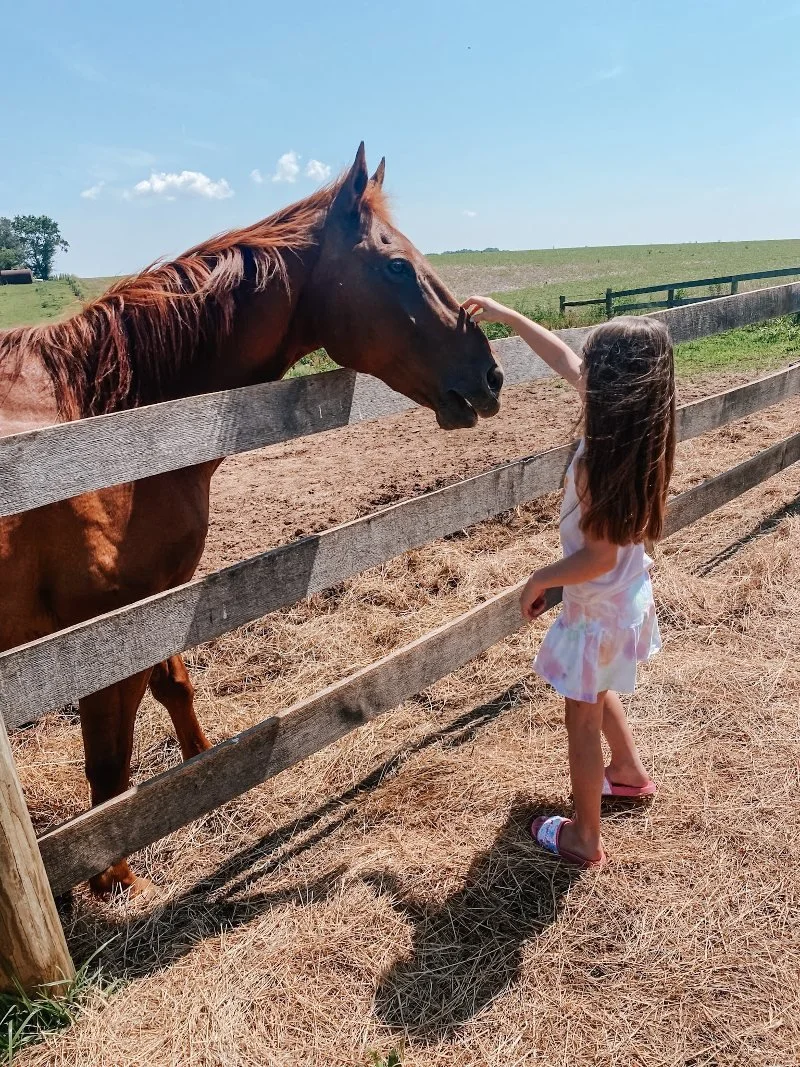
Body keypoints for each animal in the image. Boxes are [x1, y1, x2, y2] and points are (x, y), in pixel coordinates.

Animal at [0, 145, 503, 896]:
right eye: (395, 265)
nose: (490, 376)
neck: (111, 424)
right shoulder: (96, 636)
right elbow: (108, 764)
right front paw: (117, 878)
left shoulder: (154, 603)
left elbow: (174, 687)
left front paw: (205, 780)